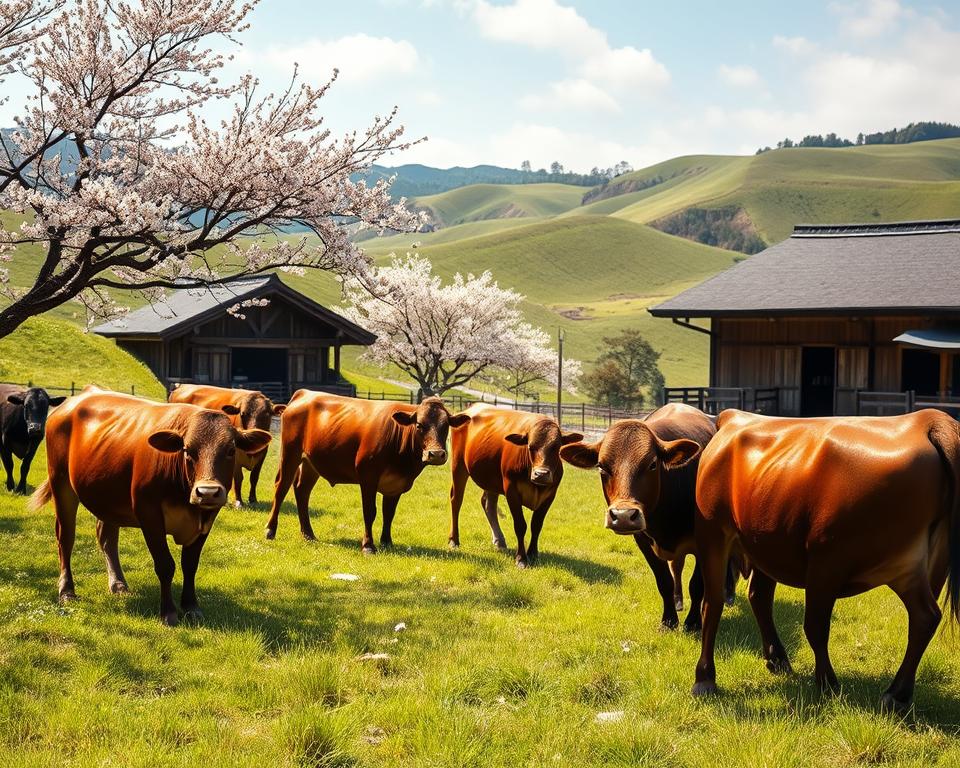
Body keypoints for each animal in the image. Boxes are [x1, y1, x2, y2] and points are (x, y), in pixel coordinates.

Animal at [31, 390, 270, 624]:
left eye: (231, 450)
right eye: (187, 450)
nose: (207, 492)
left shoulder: (207, 518)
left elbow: (190, 564)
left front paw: (191, 607)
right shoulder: (149, 514)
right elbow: (165, 565)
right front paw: (169, 612)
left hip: (108, 498)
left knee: (107, 538)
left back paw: (118, 584)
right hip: (61, 482)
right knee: (66, 537)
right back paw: (66, 590)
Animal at [266, 392, 468, 548]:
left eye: (446, 425)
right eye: (419, 425)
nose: (436, 454)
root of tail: (304, 393)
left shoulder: (397, 483)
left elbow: (389, 513)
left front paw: (387, 542)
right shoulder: (368, 477)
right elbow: (370, 512)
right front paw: (368, 545)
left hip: (311, 463)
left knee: (302, 490)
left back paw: (308, 534)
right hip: (290, 454)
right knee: (281, 488)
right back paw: (270, 530)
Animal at [448, 404, 580, 568]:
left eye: (556, 447)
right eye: (530, 447)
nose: (541, 474)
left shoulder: (550, 495)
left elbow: (537, 525)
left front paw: (533, 554)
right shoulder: (511, 491)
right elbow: (520, 525)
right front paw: (521, 558)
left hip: (491, 479)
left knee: (488, 504)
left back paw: (499, 540)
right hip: (458, 466)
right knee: (456, 501)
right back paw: (454, 540)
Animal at [560, 404, 708, 628]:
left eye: (652, 464)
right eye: (601, 466)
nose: (622, 515)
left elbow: (697, 584)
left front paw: (693, 623)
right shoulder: (643, 541)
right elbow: (664, 581)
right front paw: (669, 620)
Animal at [692, 408, 960, 712]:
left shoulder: (828, 561)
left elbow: (815, 625)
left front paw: (825, 682)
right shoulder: (826, 561)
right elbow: (815, 625)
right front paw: (827, 682)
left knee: (924, 617)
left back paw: (895, 693)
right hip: (715, 531)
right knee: (716, 601)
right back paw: (706, 677)